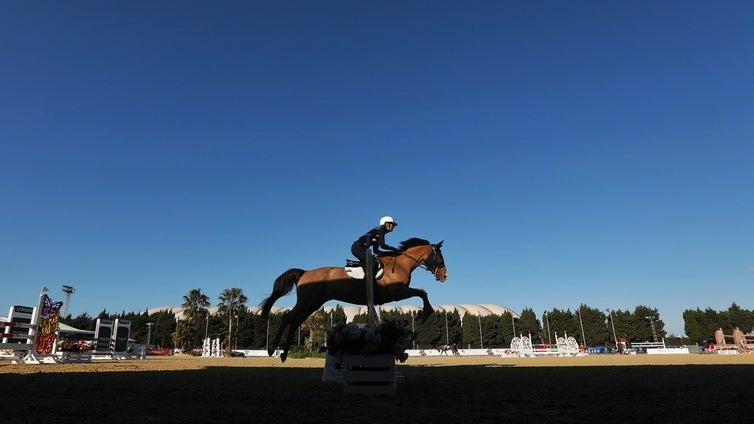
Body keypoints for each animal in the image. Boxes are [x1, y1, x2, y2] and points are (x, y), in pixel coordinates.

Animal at [260, 238, 446, 362]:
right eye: (439, 256)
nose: (444, 276)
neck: (401, 264)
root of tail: (304, 272)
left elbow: (422, 292)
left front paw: (425, 313)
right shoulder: (397, 292)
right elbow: (422, 292)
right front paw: (425, 313)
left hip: (313, 303)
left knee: (294, 321)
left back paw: (282, 354)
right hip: (308, 301)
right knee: (288, 318)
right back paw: (273, 349)